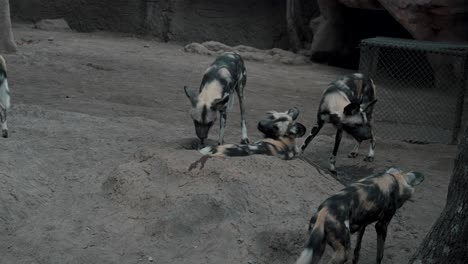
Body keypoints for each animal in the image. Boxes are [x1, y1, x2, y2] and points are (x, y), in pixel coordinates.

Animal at [296, 168, 424, 262]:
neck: (395, 178)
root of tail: (324, 211)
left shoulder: (362, 224)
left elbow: (357, 250)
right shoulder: (381, 225)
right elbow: (380, 254)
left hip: (317, 248)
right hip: (343, 253)